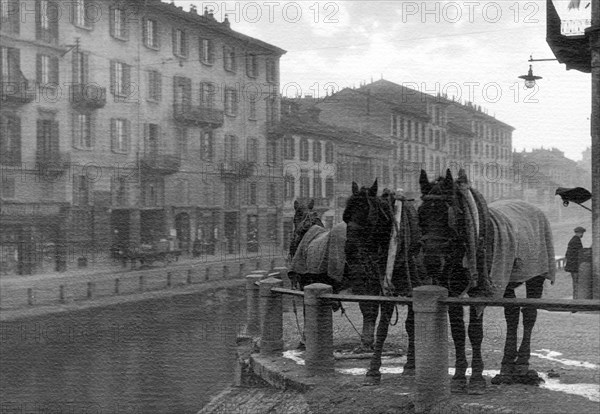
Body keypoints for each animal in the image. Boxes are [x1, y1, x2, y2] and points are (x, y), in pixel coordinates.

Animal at [340, 180, 424, 384]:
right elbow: (384, 328)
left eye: (367, 216)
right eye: (346, 216)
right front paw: (375, 369)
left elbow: (407, 326)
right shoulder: (386, 291)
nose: (350, 252)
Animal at [420, 169, 556, 394]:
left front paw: (476, 378)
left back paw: (522, 364)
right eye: (421, 212)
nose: (432, 261)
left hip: (536, 276)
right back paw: (507, 367)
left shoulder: (479, 292)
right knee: (512, 315)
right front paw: (458, 377)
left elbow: (475, 332)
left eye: (449, 214)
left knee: (529, 314)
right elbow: (457, 332)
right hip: (506, 280)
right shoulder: (451, 291)